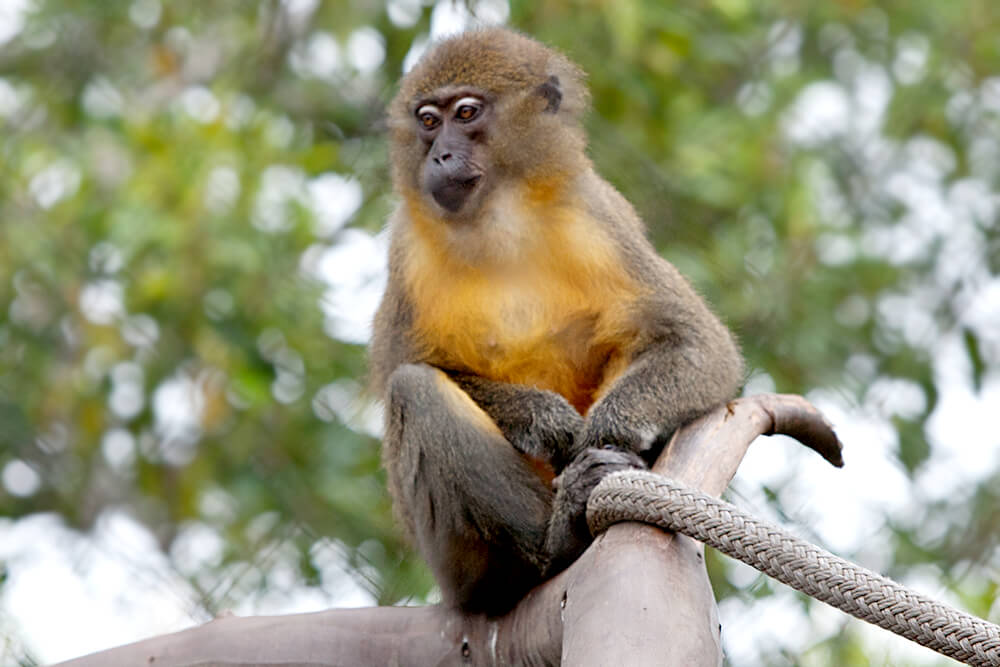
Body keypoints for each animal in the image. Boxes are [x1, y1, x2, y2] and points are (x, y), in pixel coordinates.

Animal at [370, 28, 744, 620]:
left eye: (466, 113)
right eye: (428, 120)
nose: (440, 154)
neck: (496, 219)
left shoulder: (595, 214)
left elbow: (697, 343)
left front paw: (605, 433)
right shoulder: (407, 247)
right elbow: (396, 373)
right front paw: (545, 422)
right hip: (458, 565)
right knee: (414, 388)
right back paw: (554, 543)